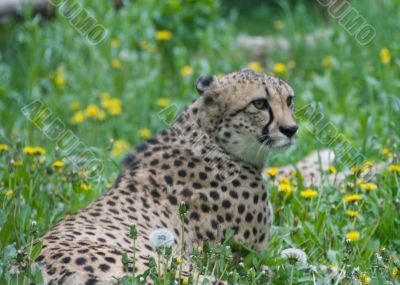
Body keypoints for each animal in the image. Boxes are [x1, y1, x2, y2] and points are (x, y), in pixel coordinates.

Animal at [36, 68, 332, 282]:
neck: (206, 136)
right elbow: (310, 268)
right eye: (259, 104)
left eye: (289, 100)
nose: (291, 129)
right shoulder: (247, 260)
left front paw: (326, 160)